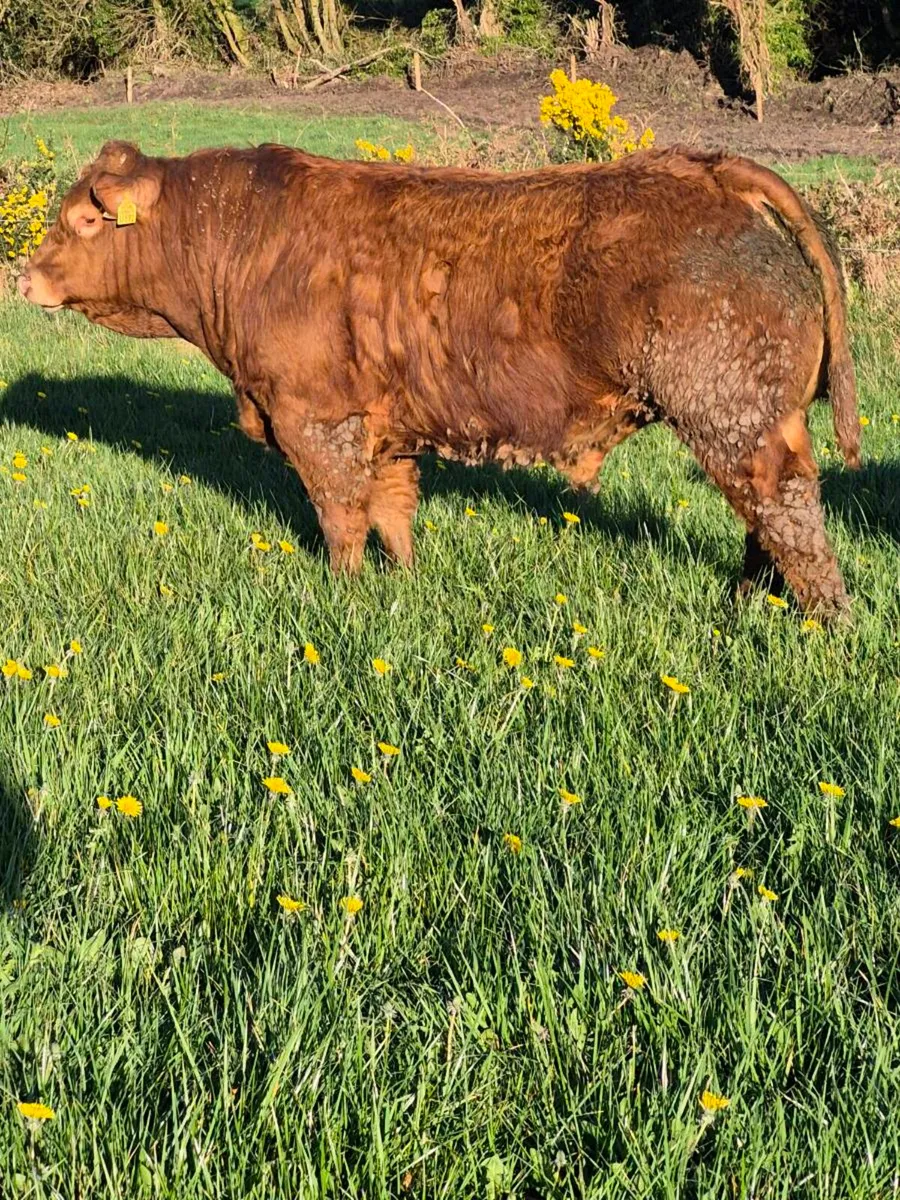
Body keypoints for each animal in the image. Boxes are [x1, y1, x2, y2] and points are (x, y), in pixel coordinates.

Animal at [18, 139, 860, 615]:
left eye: (86, 221)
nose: (23, 276)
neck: (241, 243)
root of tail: (705, 169)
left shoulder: (315, 420)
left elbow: (342, 518)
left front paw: (345, 598)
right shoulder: (384, 428)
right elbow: (392, 512)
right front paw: (405, 584)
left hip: (732, 417)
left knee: (789, 516)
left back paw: (822, 624)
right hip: (757, 421)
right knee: (764, 521)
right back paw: (747, 602)